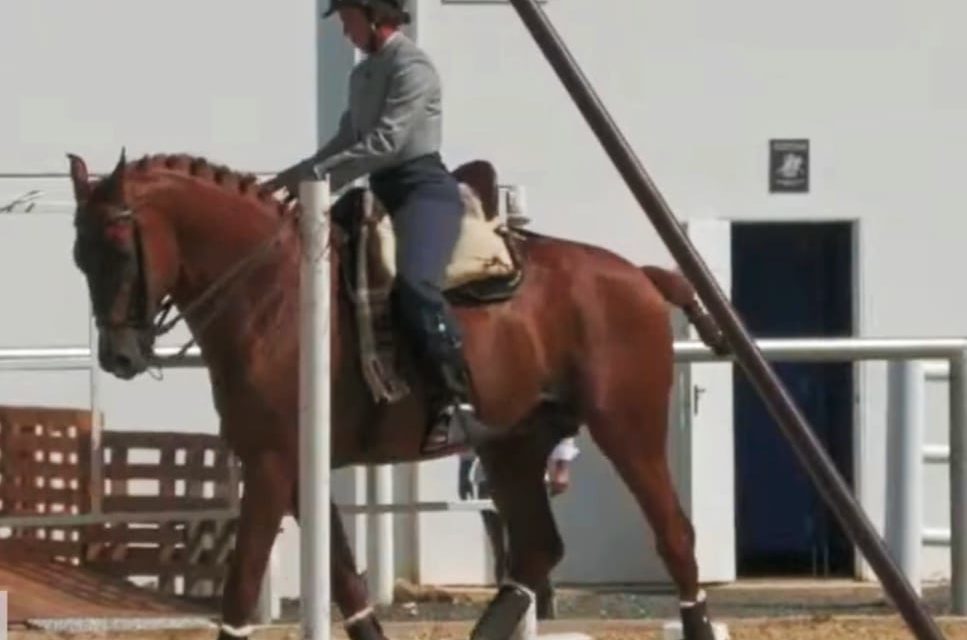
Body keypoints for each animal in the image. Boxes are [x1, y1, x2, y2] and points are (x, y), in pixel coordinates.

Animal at [68, 151, 728, 640]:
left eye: (120, 247)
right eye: (80, 257)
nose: (119, 357)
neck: (271, 293)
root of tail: (640, 276)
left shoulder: (270, 464)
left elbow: (243, 583)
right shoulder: (296, 469)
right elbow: (345, 580)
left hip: (627, 430)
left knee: (675, 538)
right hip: (513, 445)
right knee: (538, 549)